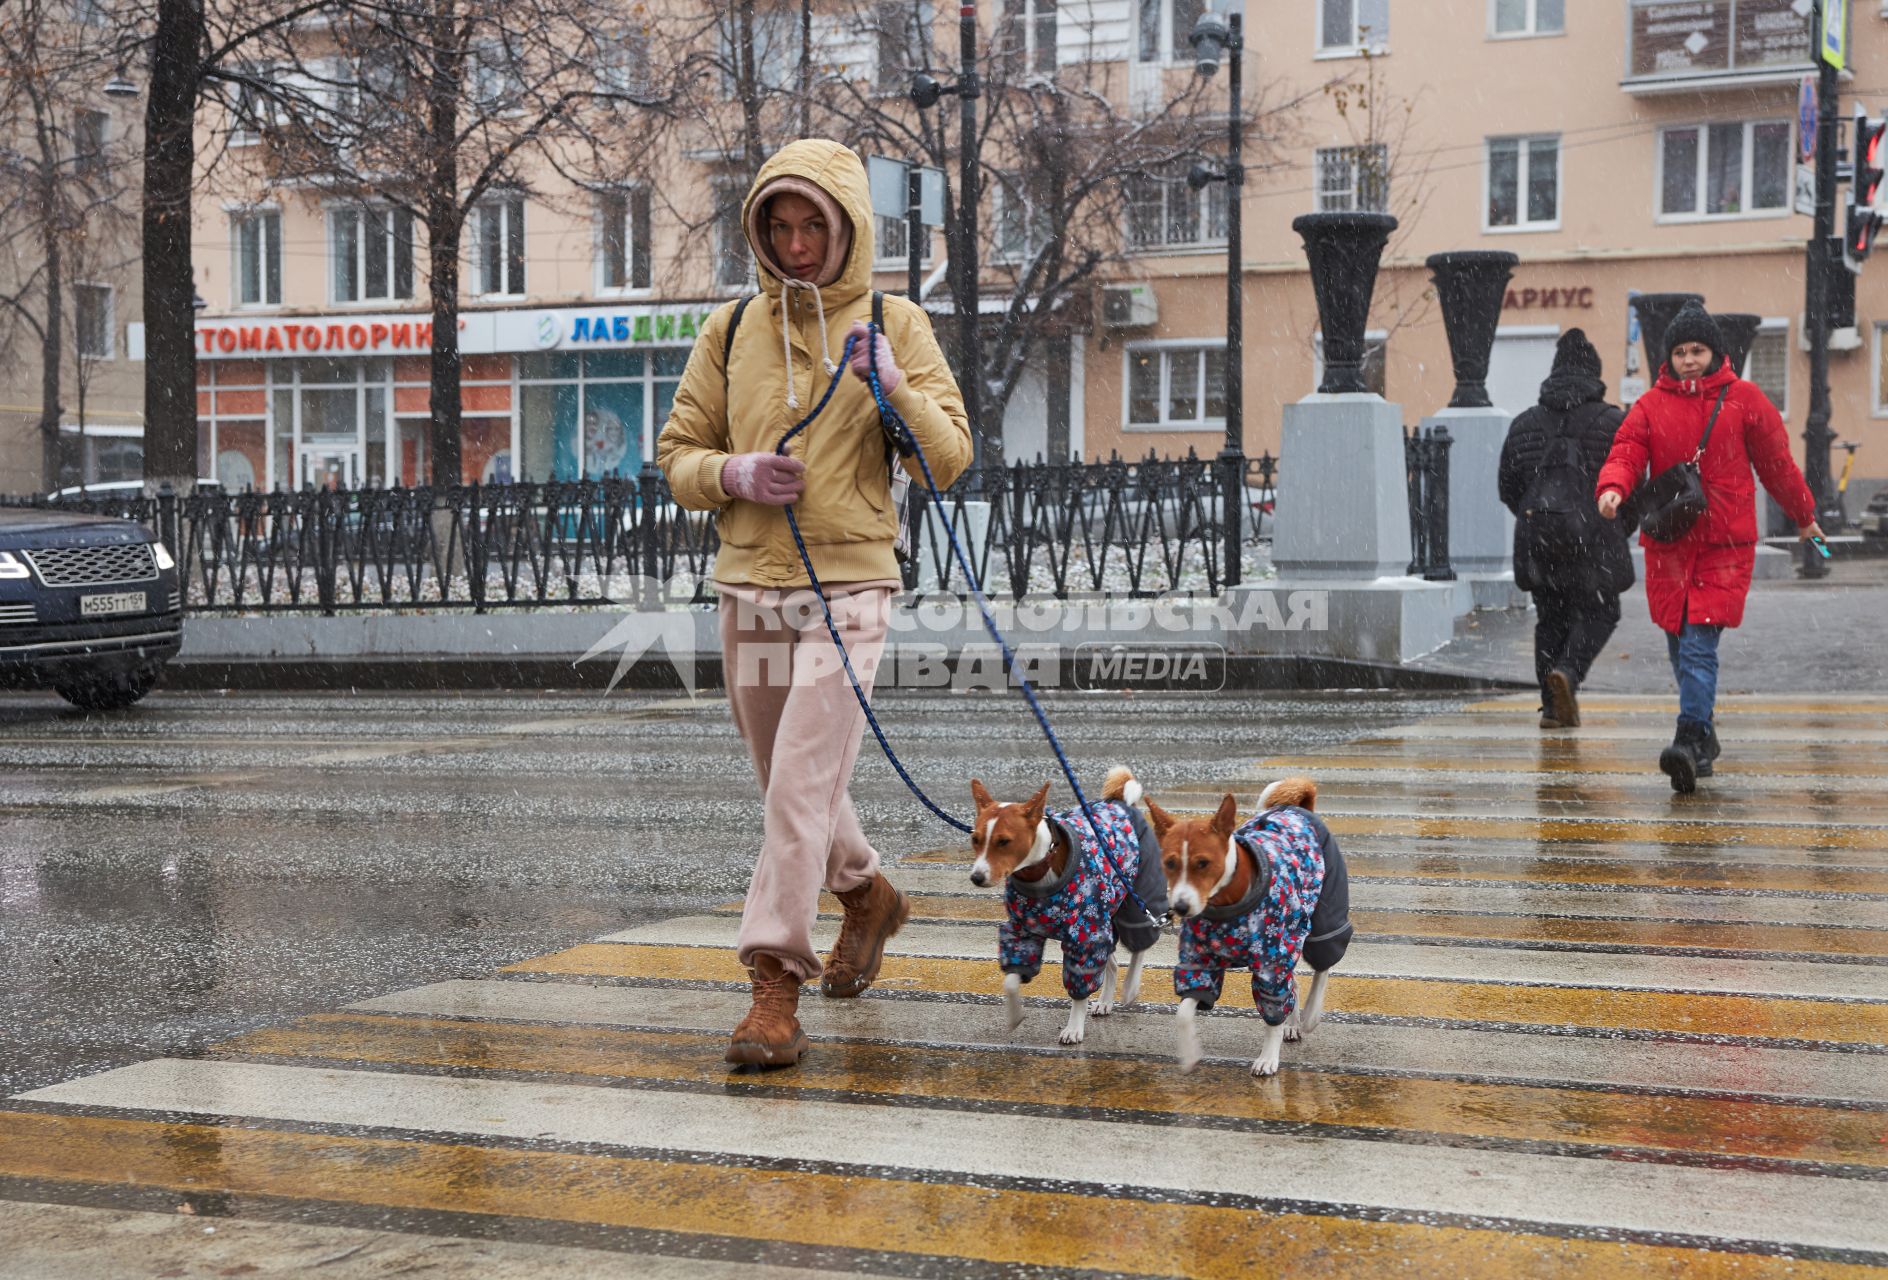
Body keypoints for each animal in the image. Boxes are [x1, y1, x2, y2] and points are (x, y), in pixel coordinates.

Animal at [974, 766, 1163, 1049]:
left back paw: (1130, 987)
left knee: (1139, 945)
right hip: (1106, 918)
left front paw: (1074, 1028)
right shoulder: (1022, 932)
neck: (1039, 875)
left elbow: (1079, 989)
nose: (976, 877)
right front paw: (1015, 1014)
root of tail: (1118, 802)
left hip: (1134, 899)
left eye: (1004, 841)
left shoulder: (1085, 937)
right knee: (1112, 961)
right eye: (974, 839)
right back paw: (1105, 1002)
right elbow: (1011, 980)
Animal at [1140, 777, 1351, 1079]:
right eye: (1169, 863)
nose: (1180, 907)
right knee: (1295, 983)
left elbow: (1272, 1014)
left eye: (1202, 863)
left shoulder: (1271, 965)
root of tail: (1297, 808)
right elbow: (1183, 1012)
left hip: (1324, 913)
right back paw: (1293, 1024)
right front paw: (1190, 1053)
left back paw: (1310, 1015)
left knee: (1323, 965)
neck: (1228, 905)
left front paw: (1268, 1058)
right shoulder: (1199, 963)